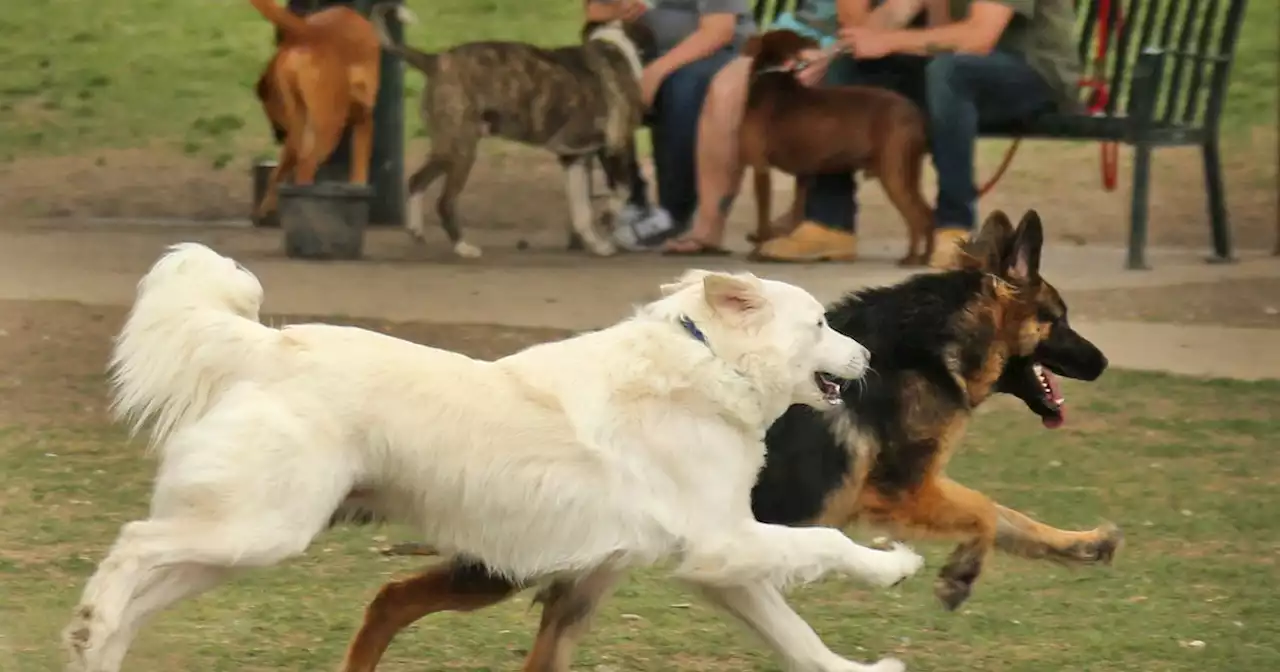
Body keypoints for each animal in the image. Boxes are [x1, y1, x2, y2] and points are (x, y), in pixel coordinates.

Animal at [64, 241, 921, 670]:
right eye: (821, 324)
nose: (869, 357)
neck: (710, 364)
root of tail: (268, 345)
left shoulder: (720, 565)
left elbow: (796, 638)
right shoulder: (724, 542)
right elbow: (827, 543)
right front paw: (893, 566)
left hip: (240, 538)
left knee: (144, 584)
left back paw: (93, 644)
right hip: (257, 529)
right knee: (133, 546)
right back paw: (94, 621)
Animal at [248, 0, 378, 218]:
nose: (277, 136)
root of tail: (309, 31)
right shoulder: (364, 120)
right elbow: (360, 172)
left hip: (298, 132)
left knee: (280, 172)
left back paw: (268, 208)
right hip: (327, 130)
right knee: (306, 167)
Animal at [737, 29, 936, 264]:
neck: (772, 76)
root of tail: (914, 112)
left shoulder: (761, 167)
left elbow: (763, 218)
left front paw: (759, 250)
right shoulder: (804, 174)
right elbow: (797, 211)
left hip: (893, 173)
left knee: (916, 217)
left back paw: (912, 258)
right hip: (907, 173)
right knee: (927, 214)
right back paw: (926, 256)